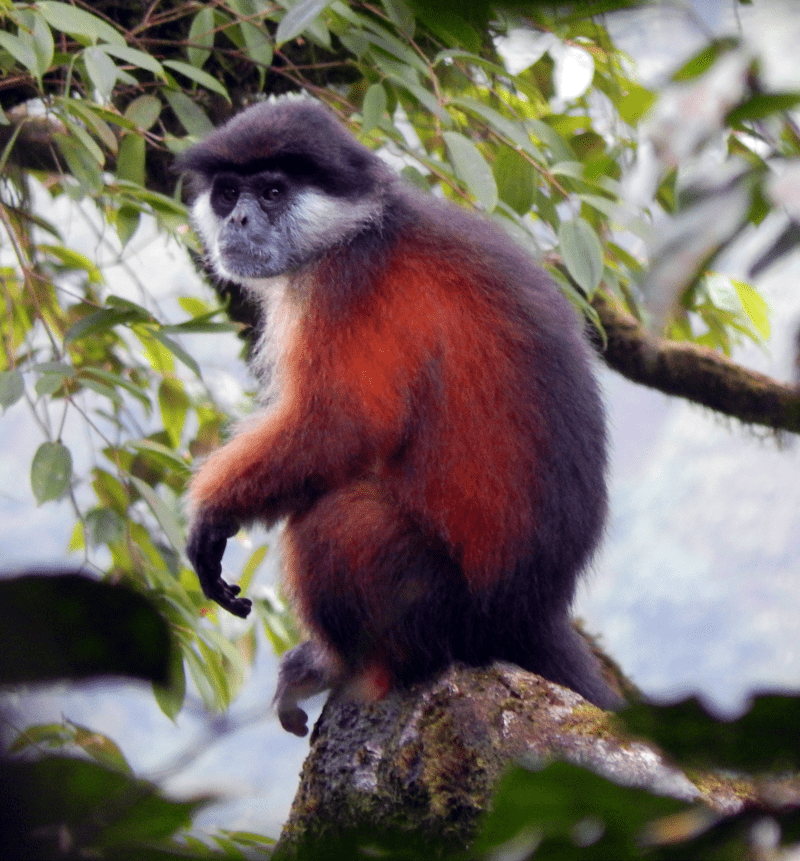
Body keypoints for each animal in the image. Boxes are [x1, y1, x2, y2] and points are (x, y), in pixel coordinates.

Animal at [178, 99, 620, 732]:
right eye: (227, 192)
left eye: (272, 192)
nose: (236, 221)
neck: (361, 228)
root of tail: (529, 614)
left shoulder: (350, 282)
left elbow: (343, 423)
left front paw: (212, 513)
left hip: (441, 609)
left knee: (337, 516)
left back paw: (346, 665)